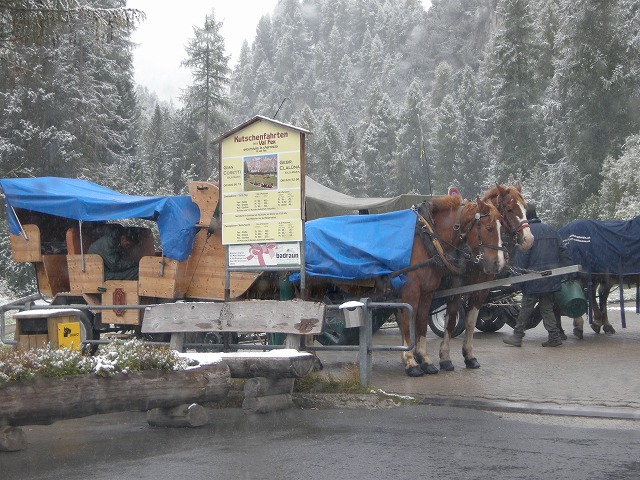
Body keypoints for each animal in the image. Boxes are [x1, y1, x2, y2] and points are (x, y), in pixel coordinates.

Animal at [398, 194, 508, 376]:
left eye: (503, 227)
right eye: (490, 228)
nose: (498, 264)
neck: (428, 238)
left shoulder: (428, 292)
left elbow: (422, 323)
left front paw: (424, 359)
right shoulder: (411, 291)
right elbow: (410, 323)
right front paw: (412, 362)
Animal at [438, 183, 532, 372]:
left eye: (526, 208)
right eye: (510, 209)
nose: (529, 239)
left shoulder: (481, 288)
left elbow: (471, 321)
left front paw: (469, 356)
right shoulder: (456, 288)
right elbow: (450, 320)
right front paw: (445, 357)